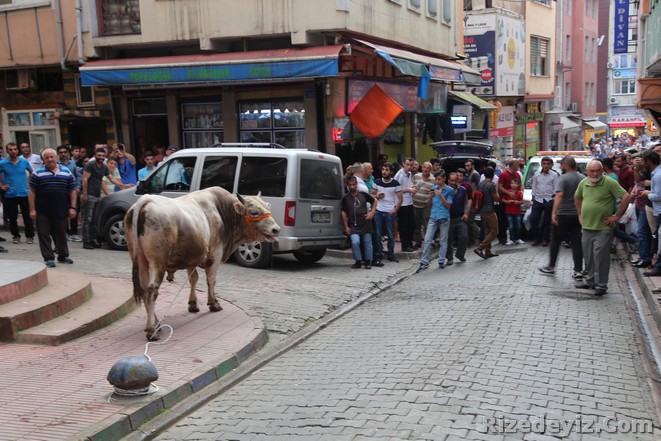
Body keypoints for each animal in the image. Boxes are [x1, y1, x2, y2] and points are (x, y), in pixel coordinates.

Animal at [125, 187, 280, 340]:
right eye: (254, 212)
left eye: (268, 207)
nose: (276, 229)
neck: (222, 212)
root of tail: (146, 199)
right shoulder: (215, 255)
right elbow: (211, 280)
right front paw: (214, 304)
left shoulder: (192, 257)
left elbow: (193, 279)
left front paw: (193, 304)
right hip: (157, 263)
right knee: (152, 290)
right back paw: (152, 330)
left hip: (141, 261)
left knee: (144, 290)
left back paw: (156, 324)